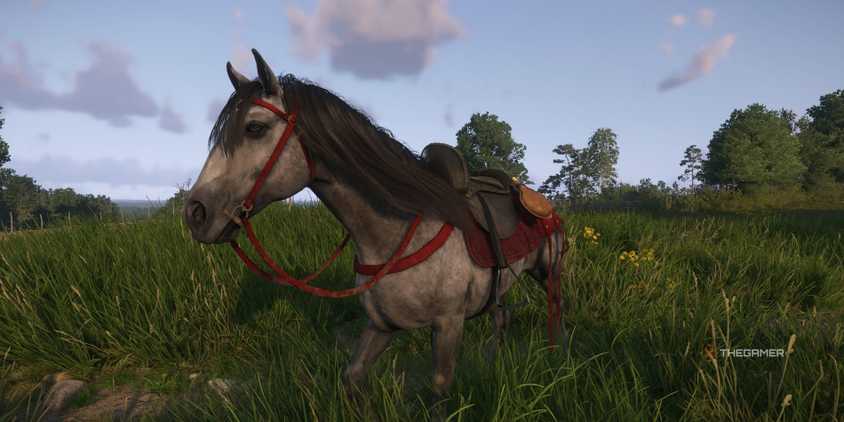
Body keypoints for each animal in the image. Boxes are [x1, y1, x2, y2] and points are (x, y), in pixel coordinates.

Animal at [183, 49, 568, 415]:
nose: (195, 213)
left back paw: (558, 360)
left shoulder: (448, 323)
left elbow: (439, 390)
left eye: (254, 128)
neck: (399, 229)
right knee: (501, 317)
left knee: (556, 311)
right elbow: (352, 377)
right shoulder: (382, 324)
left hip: (547, 271)